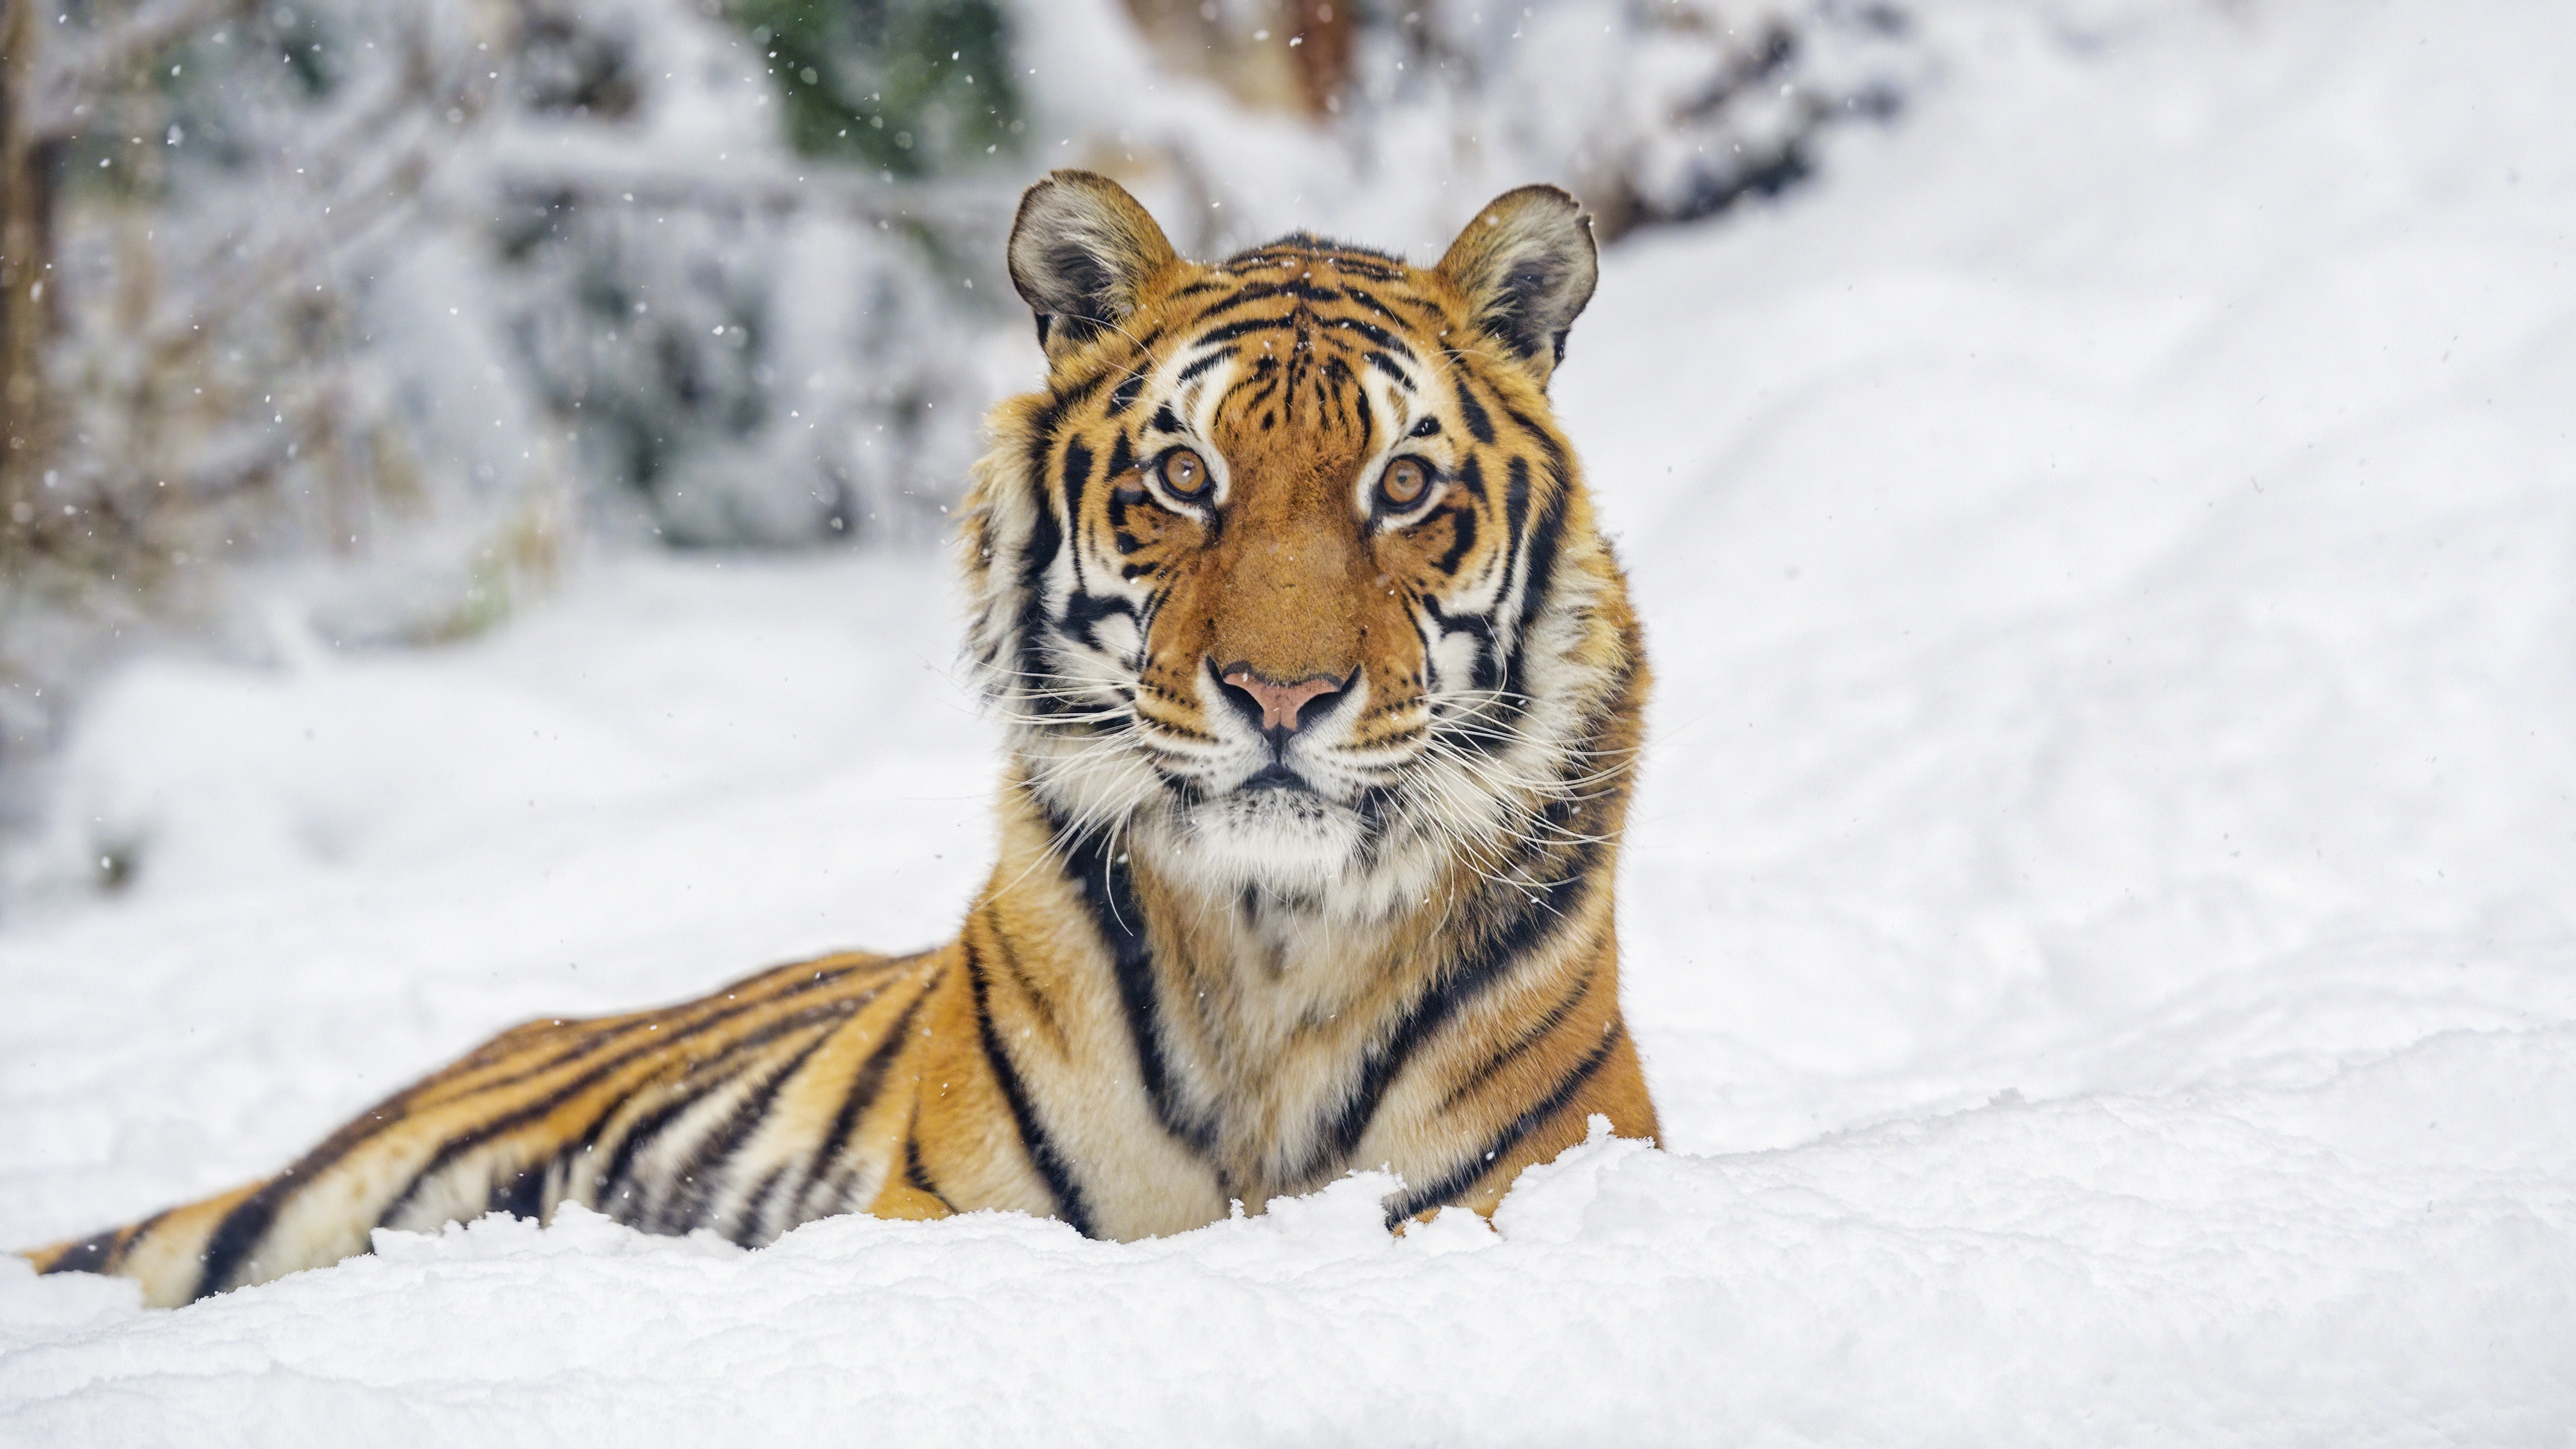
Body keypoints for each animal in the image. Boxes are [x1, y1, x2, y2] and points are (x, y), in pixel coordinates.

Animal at [19, 171, 1658, 1308]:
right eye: (1185, 476)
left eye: (1403, 487)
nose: (1278, 693)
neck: (1273, 945)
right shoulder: (944, 1214)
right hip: (319, 1194)